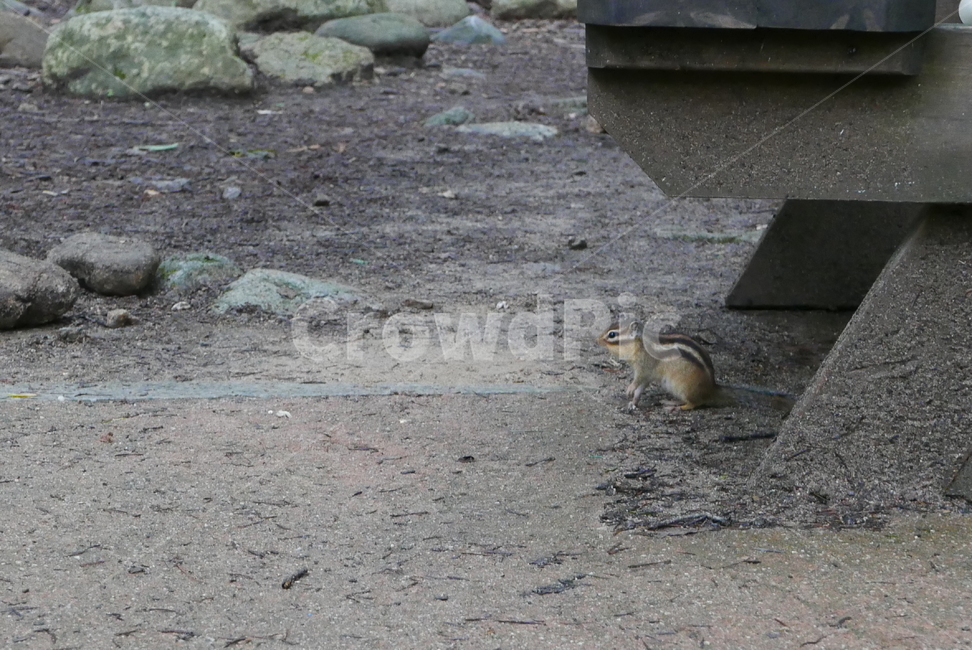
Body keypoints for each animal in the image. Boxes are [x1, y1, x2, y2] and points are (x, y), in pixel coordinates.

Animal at [596, 321, 794, 412]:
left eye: (612, 335)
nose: (597, 340)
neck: (639, 344)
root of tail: (712, 389)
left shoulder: (644, 368)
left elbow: (638, 381)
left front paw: (629, 389)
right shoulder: (648, 374)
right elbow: (641, 388)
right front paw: (633, 401)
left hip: (683, 386)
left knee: (695, 404)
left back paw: (675, 407)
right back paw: (672, 401)